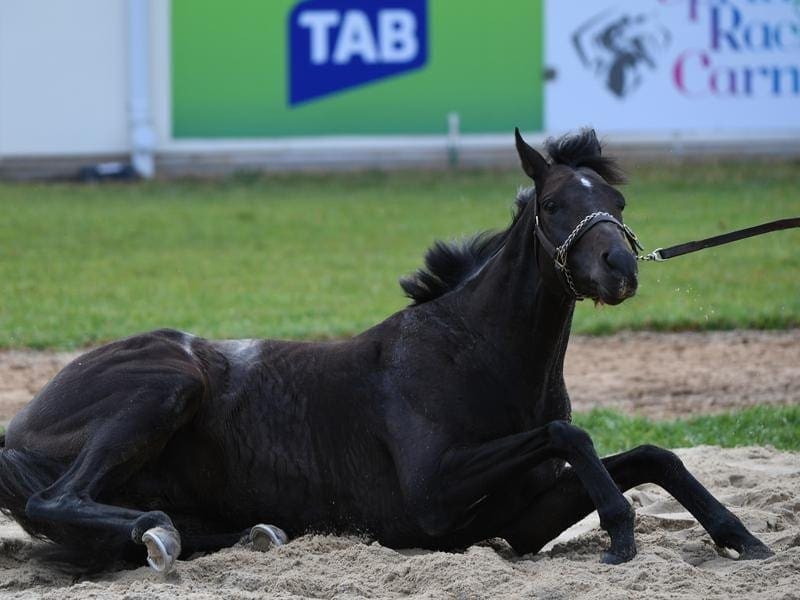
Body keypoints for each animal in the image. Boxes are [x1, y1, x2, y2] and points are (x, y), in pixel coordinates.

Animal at [1, 130, 776, 572]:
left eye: (617, 201)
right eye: (554, 204)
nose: (621, 267)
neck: (476, 354)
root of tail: (18, 431)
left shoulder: (518, 517)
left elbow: (648, 455)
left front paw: (739, 536)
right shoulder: (431, 495)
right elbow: (570, 432)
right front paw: (619, 533)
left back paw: (255, 534)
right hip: (166, 384)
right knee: (58, 497)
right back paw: (157, 533)